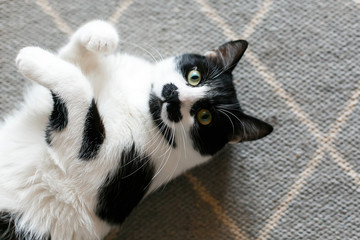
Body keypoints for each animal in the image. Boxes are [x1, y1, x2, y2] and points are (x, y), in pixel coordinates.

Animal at [0, 20, 272, 240]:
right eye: (194, 77)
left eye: (205, 118)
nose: (174, 96)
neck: (141, 105)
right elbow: (73, 60)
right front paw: (100, 37)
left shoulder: (92, 171)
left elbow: (80, 89)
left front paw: (30, 57)